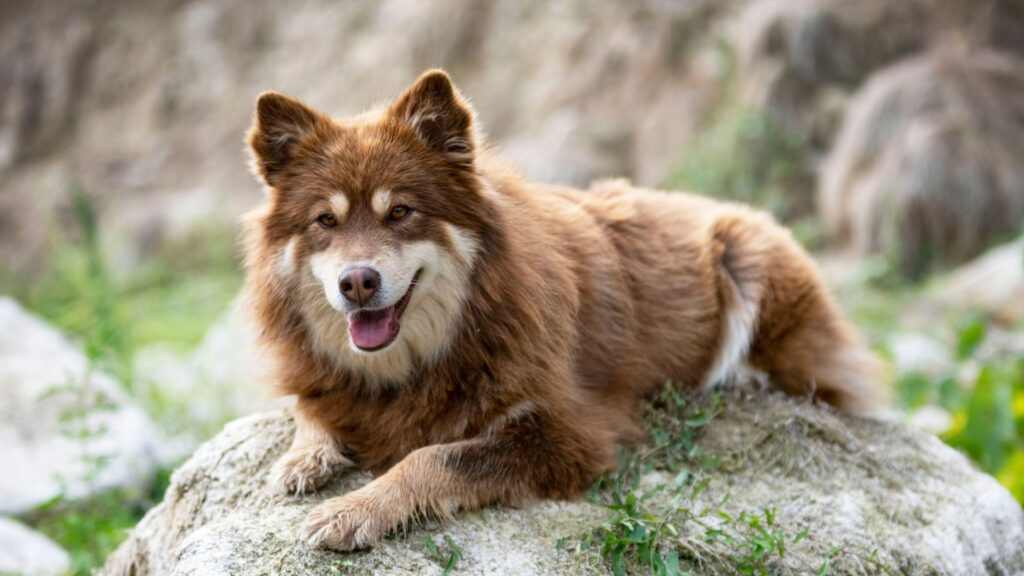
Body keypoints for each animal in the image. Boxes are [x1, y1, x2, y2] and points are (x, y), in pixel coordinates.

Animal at [239, 69, 880, 549]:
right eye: (326, 221)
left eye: (400, 212)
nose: (357, 283)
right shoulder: (326, 381)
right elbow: (311, 408)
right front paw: (305, 458)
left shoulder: (567, 435)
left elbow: (435, 457)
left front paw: (355, 509)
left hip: (748, 258)